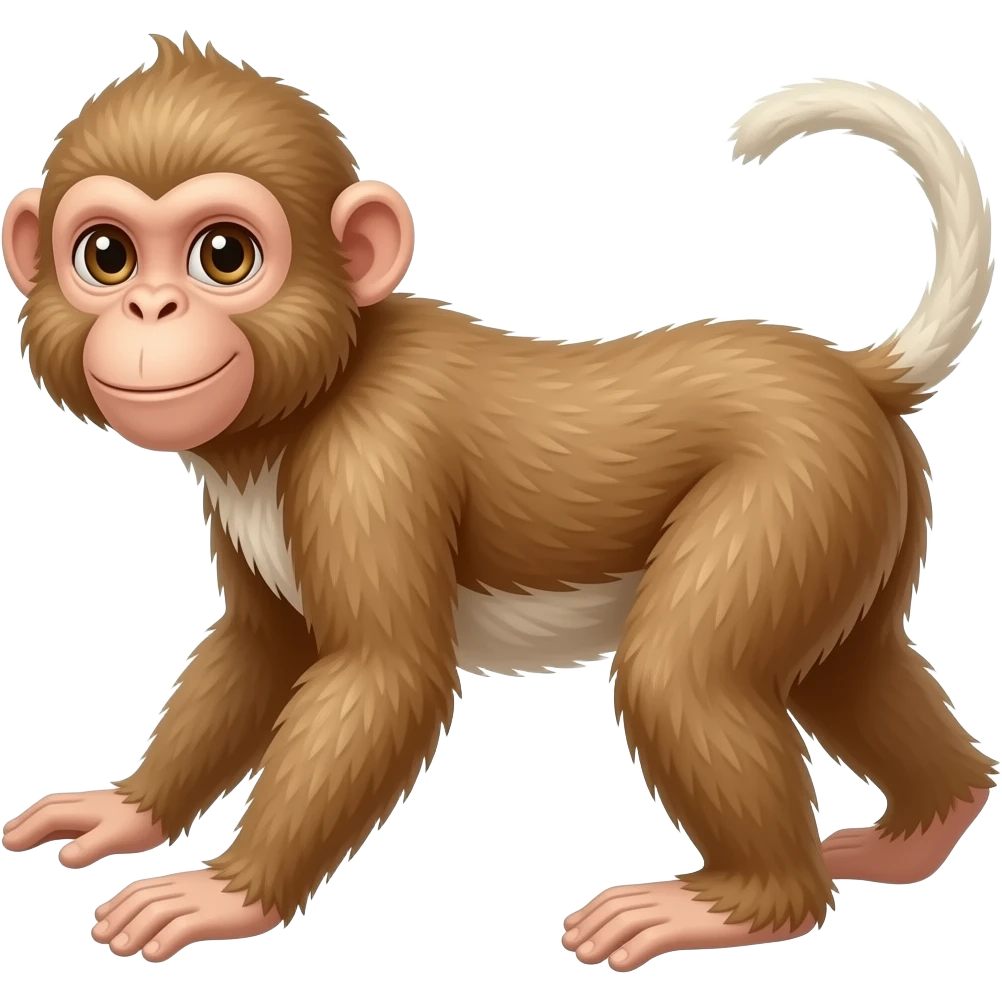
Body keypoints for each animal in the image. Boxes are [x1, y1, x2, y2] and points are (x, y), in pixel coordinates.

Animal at [1, 35, 997, 969]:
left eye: (224, 255)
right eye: (108, 256)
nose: (151, 311)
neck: (310, 397)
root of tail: (853, 375)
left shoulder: (373, 462)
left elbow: (385, 675)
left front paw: (226, 894)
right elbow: (256, 648)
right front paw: (129, 811)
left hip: (799, 480)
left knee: (684, 673)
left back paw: (747, 902)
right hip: (865, 496)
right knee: (850, 665)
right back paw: (929, 825)